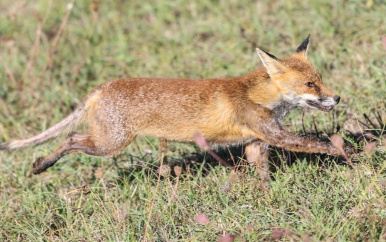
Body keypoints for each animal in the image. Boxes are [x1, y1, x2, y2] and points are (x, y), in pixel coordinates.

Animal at [0, 35, 350, 180]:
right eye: (310, 85)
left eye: (319, 80)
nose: (337, 98)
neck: (259, 96)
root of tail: (100, 87)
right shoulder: (274, 135)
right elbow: (320, 143)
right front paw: (351, 155)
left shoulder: (256, 143)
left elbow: (263, 177)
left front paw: (266, 199)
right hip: (110, 144)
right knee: (70, 138)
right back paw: (42, 164)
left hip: (107, 142)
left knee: (70, 138)